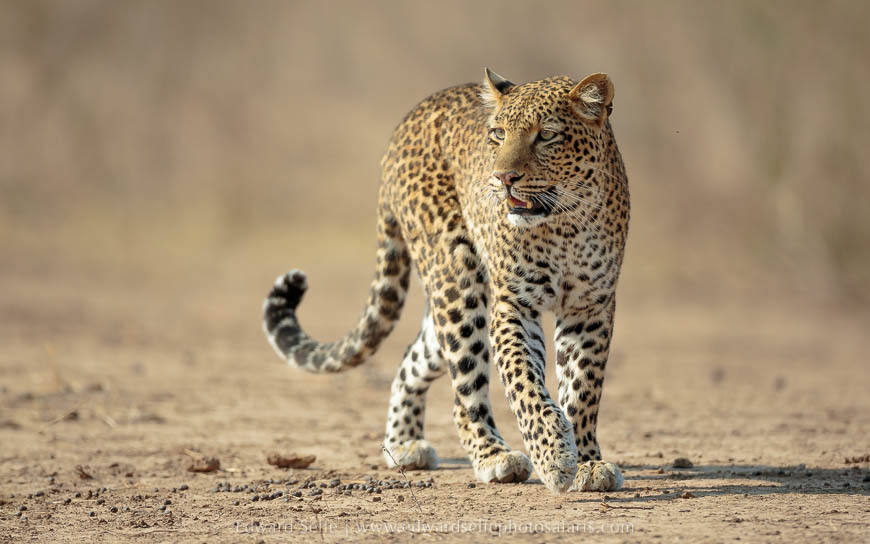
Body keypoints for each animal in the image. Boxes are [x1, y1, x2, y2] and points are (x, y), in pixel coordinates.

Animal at [262, 69, 629, 494]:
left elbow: (583, 386)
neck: (565, 223)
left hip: (452, 313)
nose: (503, 177)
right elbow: (524, 382)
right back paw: (494, 457)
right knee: (463, 395)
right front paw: (554, 456)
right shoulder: (513, 304)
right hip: (458, 283)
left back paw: (403, 444)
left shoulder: (591, 306)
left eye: (547, 135)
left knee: (411, 360)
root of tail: (406, 121)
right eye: (498, 134)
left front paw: (588, 461)